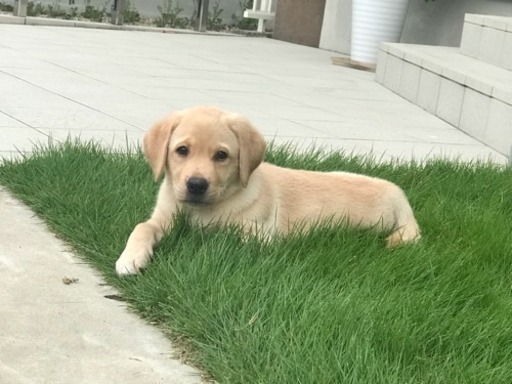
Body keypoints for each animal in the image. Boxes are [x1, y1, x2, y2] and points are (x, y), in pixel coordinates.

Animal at [116, 106, 420, 274]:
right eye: (182, 150)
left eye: (221, 156)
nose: (197, 185)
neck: (205, 208)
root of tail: (399, 194)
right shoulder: (163, 217)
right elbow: (142, 227)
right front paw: (130, 258)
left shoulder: (259, 237)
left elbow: (216, 238)